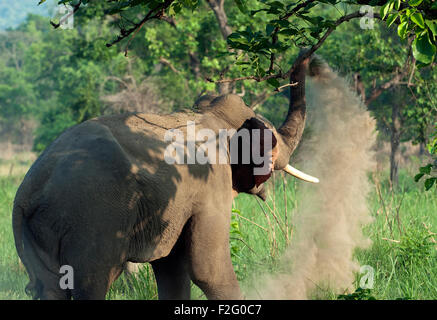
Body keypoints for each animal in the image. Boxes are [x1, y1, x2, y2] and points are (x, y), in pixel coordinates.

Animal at [11, 54, 318, 300]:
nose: (308, 55)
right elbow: (208, 268)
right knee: (92, 283)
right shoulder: (212, 183)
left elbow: (171, 266)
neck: (209, 114)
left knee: (49, 288)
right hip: (92, 219)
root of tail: (27, 195)